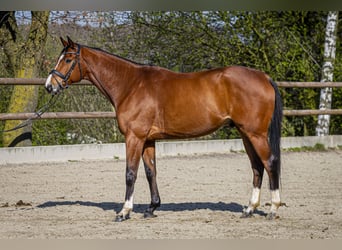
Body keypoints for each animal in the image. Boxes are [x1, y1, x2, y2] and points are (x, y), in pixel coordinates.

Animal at [44, 36, 282, 221]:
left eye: (67, 59)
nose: (49, 86)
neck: (131, 84)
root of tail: (264, 77)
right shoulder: (148, 139)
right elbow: (151, 172)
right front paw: (152, 207)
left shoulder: (134, 137)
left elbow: (130, 173)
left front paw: (124, 212)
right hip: (245, 133)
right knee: (257, 167)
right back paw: (249, 209)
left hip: (255, 134)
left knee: (269, 163)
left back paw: (273, 209)